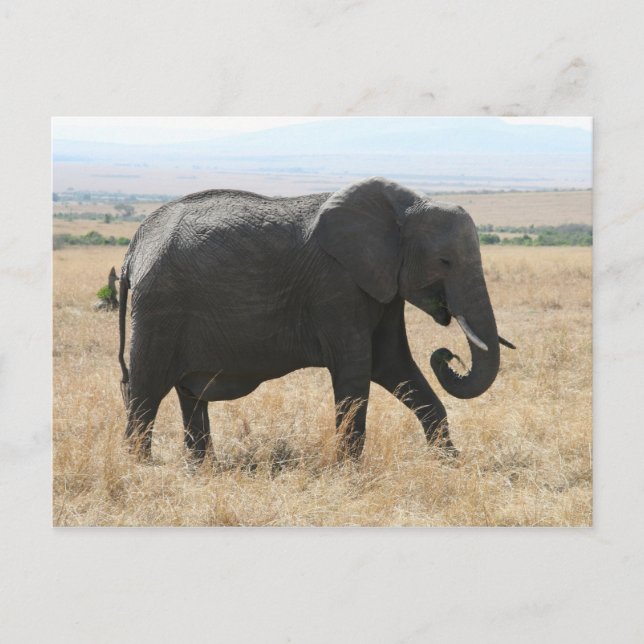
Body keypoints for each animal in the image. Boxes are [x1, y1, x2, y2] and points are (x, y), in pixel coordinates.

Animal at [118, 177, 513, 461]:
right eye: (444, 262)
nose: (448, 355)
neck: (403, 209)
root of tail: (134, 247)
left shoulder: (380, 286)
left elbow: (394, 365)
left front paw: (450, 462)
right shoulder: (336, 286)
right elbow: (356, 370)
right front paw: (348, 470)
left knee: (188, 393)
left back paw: (201, 468)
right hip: (159, 308)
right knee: (146, 391)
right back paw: (140, 467)